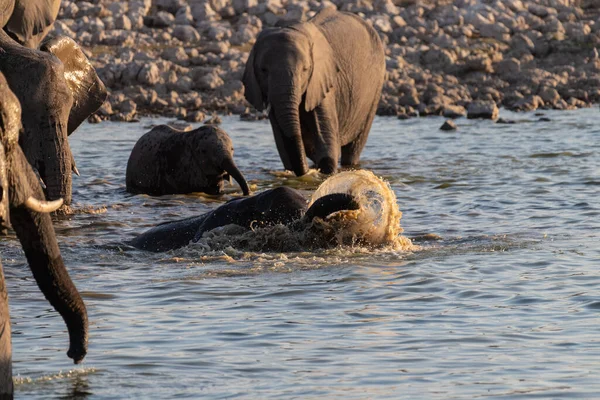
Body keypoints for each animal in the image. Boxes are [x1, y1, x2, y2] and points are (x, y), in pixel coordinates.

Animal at [243, 7, 386, 177]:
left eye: (305, 69)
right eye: (263, 70)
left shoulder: (322, 83)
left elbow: (326, 141)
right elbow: (284, 148)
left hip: (376, 86)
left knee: (353, 149)